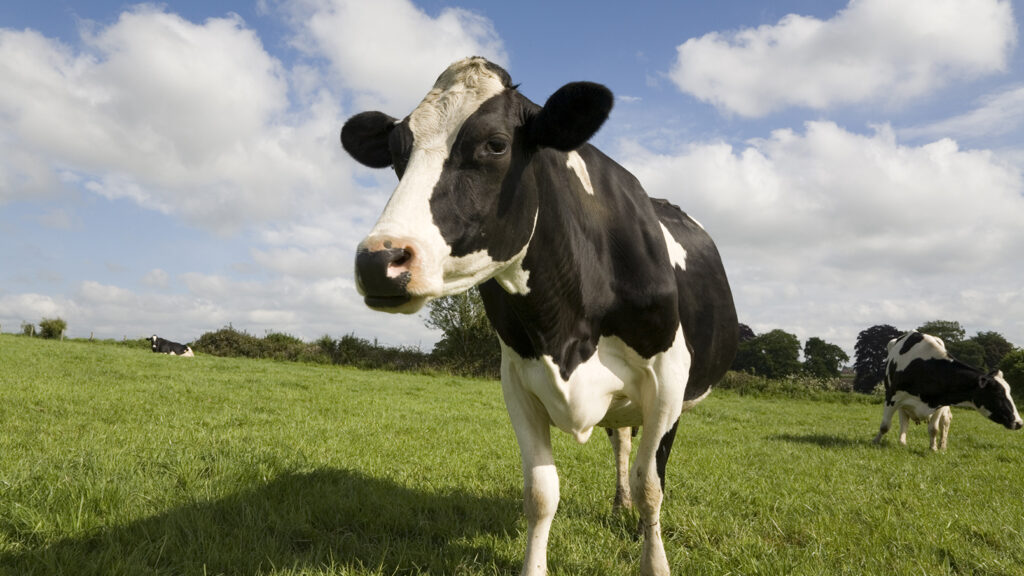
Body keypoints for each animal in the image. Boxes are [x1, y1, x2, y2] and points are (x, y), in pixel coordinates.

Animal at [341, 57, 738, 576]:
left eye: (495, 144)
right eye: (394, 154)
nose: (378, 261)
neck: (565, 330)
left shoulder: (668, 378)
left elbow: (652, 486)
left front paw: (654, 560)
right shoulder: (517, 380)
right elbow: (541, 492)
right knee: (620, 440)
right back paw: (619, 505)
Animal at [873, 331, 1022, 450]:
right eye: (998, 394)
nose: (1019, 423)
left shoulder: (939, 403)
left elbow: (934, 429)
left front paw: (933, 448)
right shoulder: (892, 397)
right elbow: (885, 426)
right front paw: (875, 442)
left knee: (946, 422)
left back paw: (942, 445)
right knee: (904, 418)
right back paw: (902, 442)